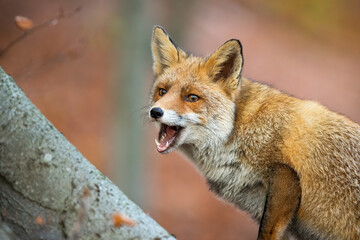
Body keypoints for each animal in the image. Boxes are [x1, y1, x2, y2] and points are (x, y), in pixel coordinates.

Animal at [148, 25, 358, 239]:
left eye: (192, 97)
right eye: (162, 92)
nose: (155, 112)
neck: (238, 129)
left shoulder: (286, 178)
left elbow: (266, 233)